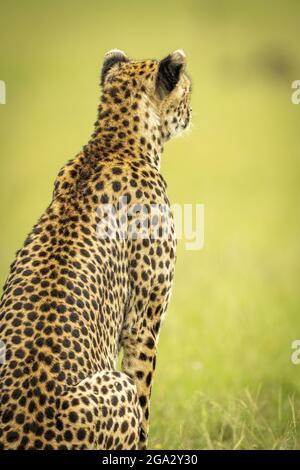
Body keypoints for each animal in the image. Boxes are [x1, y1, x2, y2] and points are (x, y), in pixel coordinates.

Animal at [0, 49, 192, 450]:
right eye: (187, 91)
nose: (191, 111)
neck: (114, 143)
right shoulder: (143, 323)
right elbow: (143, 393)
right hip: (114, 384)